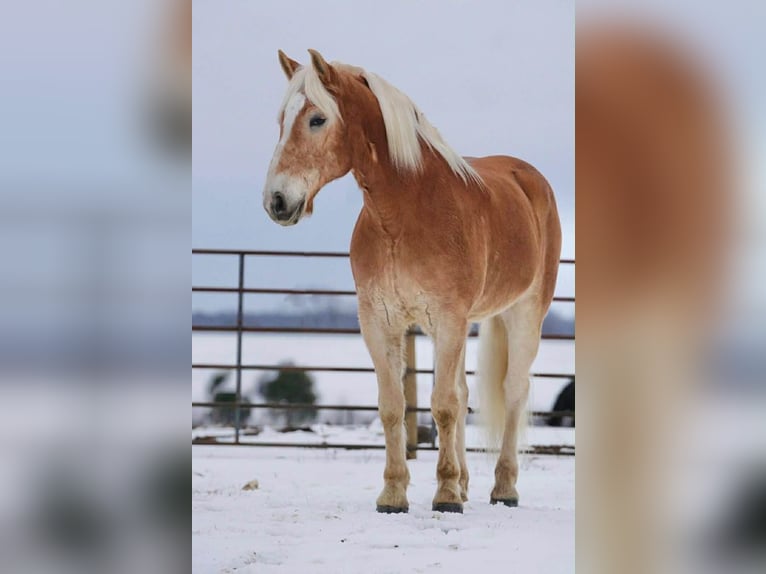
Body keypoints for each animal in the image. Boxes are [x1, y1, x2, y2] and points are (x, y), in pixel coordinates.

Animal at [263, 49, 561, 513]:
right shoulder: (379, 321)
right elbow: (394, 406)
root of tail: (528, 178)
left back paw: (504, 488)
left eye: (317, 119)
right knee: (464, 392)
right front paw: (394, 494)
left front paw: (445, 496)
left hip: (525, 313)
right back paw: (467, 482)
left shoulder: (448, 319)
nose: (276, 201)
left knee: (513, 391)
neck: (407, 212)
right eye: (282, 119)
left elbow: (442, 406)